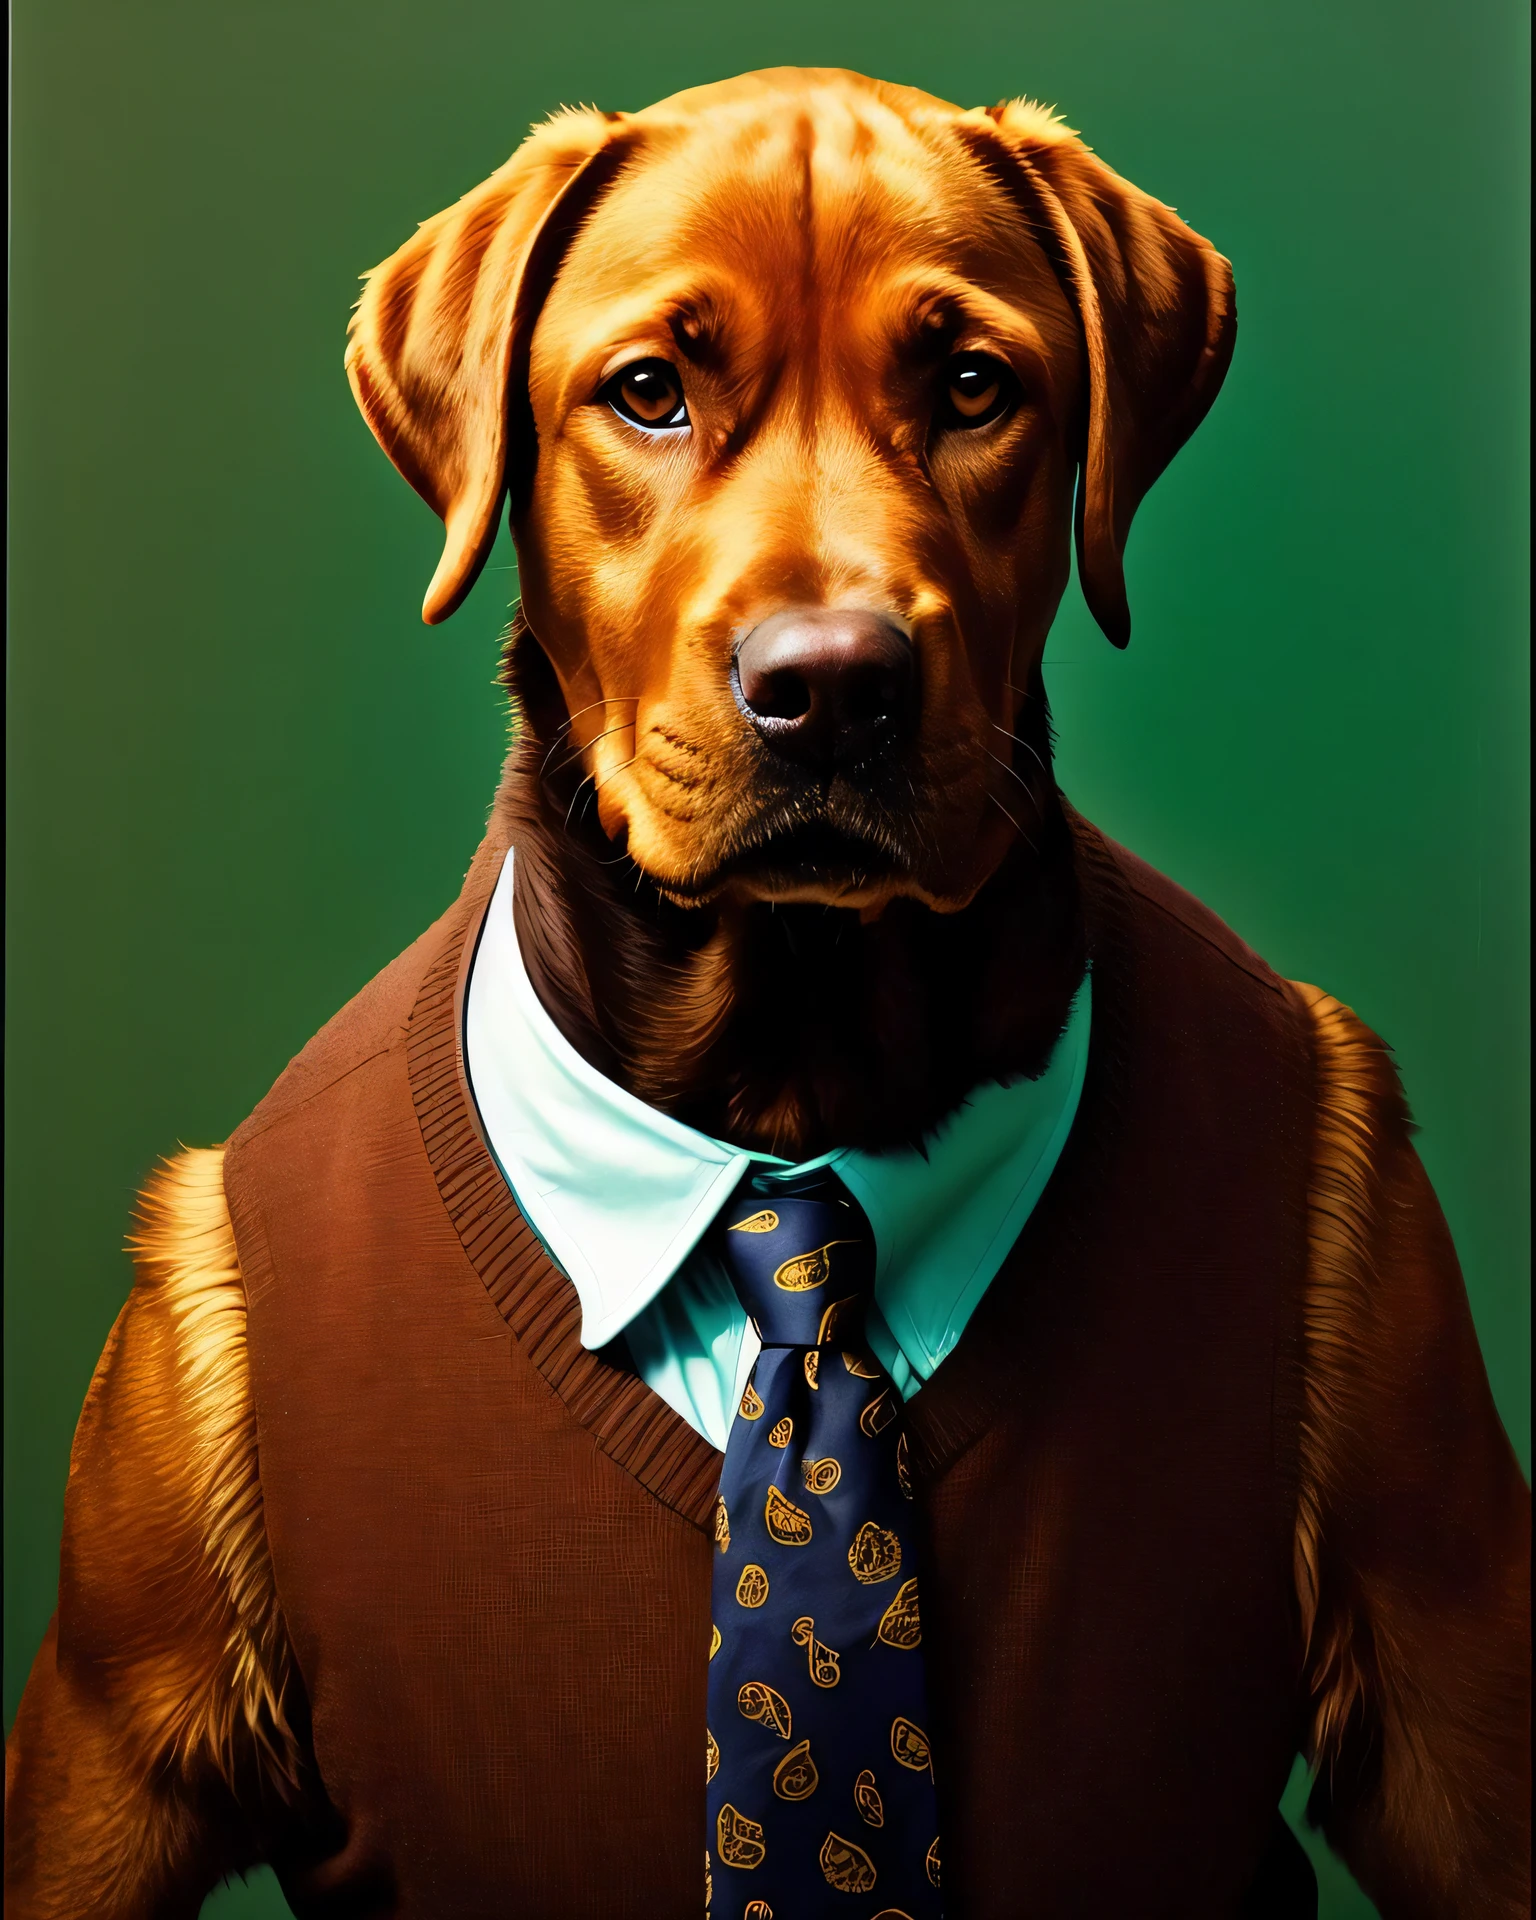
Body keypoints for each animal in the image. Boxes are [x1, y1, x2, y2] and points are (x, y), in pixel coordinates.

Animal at [6, 67, 1528, 1912]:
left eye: (972, 386)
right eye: (650, 392)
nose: (832, 685)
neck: (788, 1092)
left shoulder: (1453, 1685)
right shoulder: (107, 1749)